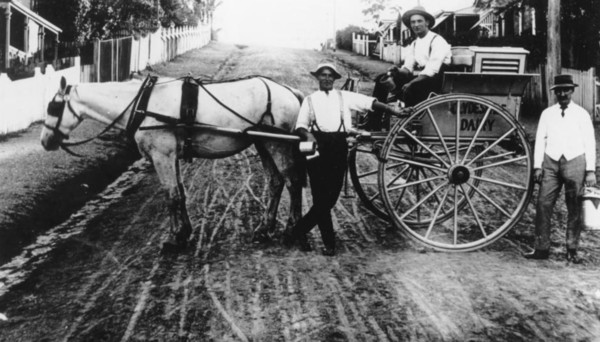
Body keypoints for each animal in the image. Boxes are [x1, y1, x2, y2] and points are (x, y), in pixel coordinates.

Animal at [40, 75, 304, 251]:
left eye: (53, 106)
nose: (44, 141)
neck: (142, 104)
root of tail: (289, 91)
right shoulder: (171, 156)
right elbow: (180, 193)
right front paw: (184, 232)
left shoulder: (162, 155)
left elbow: (172, 196)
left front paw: (174, 237)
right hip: (264, 144)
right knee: (275, 182)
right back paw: (264, 229)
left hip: (277, 145)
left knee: (292, 182)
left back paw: (292, 230)